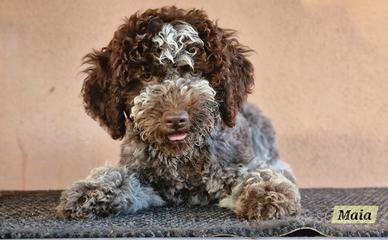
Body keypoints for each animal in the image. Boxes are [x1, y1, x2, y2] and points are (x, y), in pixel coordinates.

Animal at [56, 6, 302, 221]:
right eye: (146, 76)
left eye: (194, 71)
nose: (176, 119)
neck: (182, 157)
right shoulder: (144, 176)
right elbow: (121, 176)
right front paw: (93, 189)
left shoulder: (245, 163)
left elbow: (260, 171)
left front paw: (267, 191)